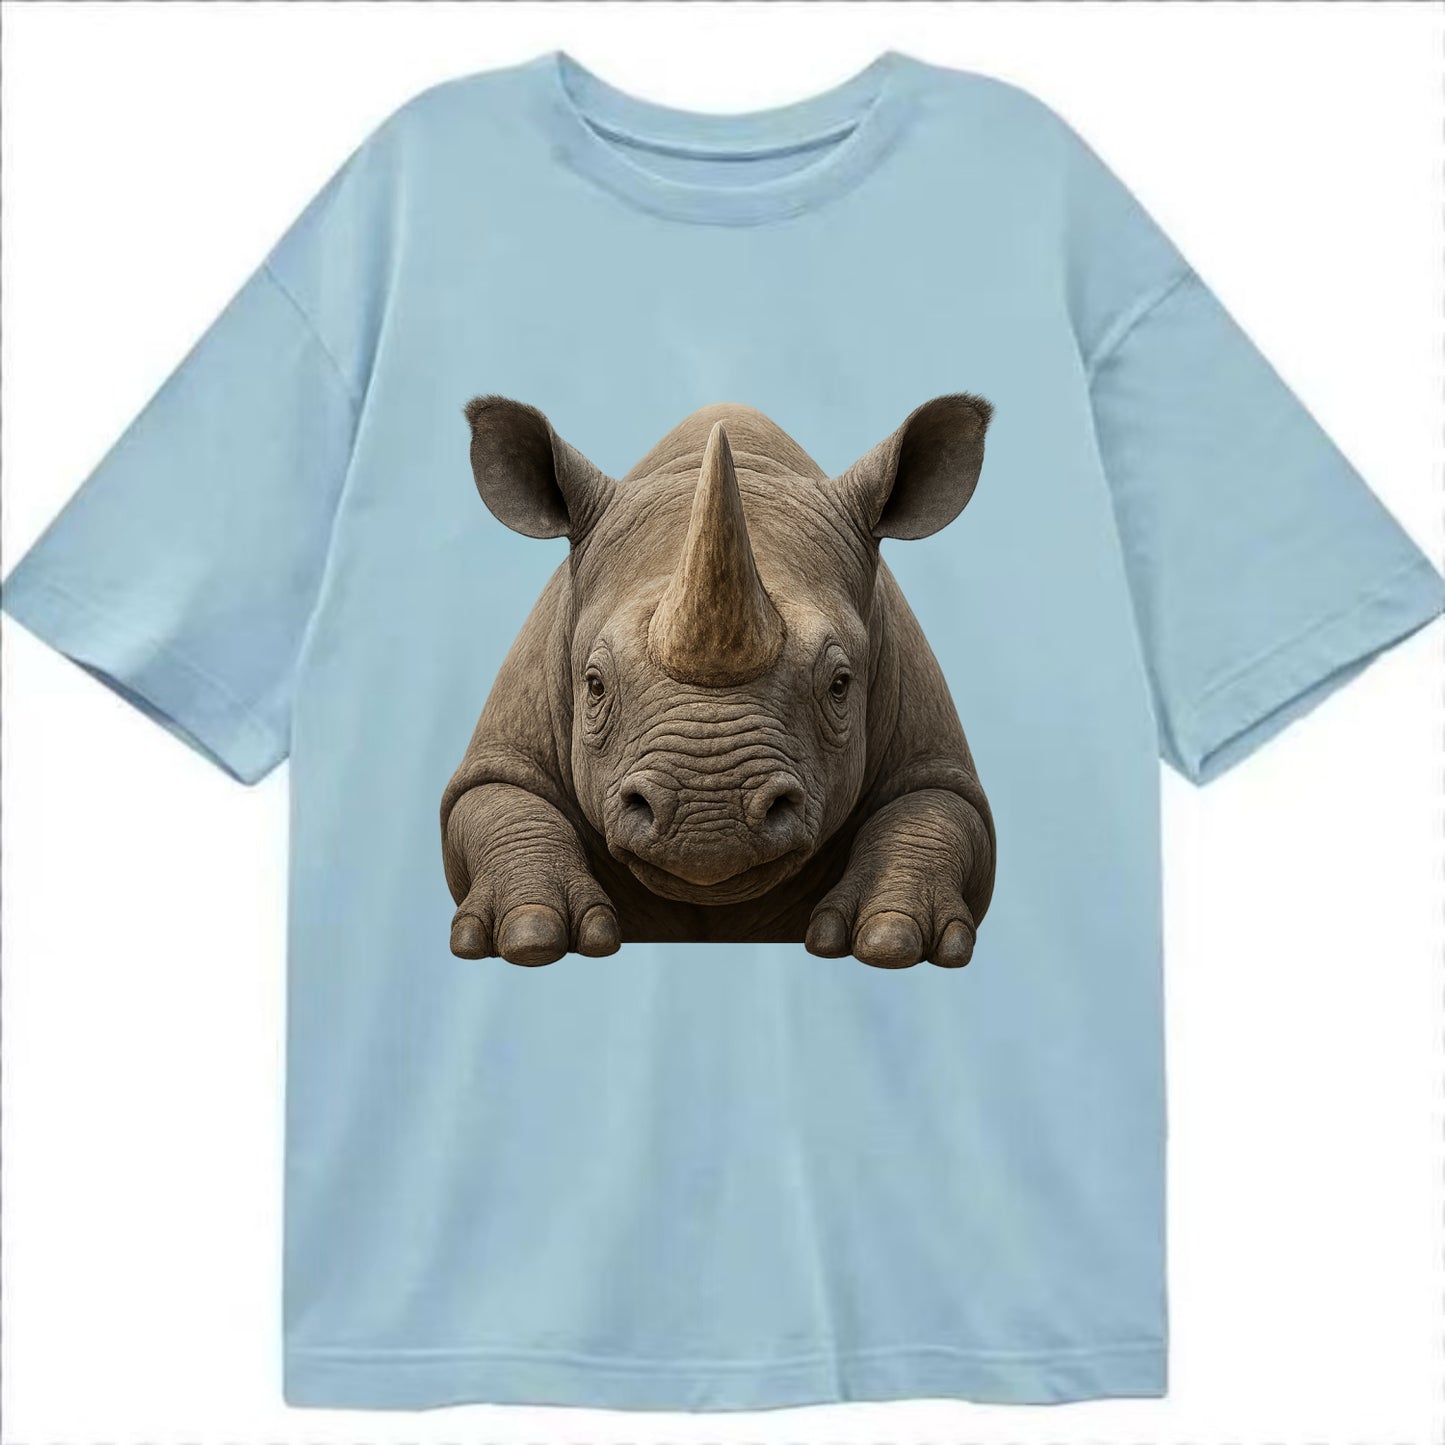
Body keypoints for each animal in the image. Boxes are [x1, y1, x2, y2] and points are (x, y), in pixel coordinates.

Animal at [440, 394, 996, 970]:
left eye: (840, 685)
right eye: (594, 685)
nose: (708, 821)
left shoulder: (929, 745)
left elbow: (936, 809)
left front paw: (892, 939)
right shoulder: (507, 743)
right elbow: (497, 798)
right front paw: (530, 935)